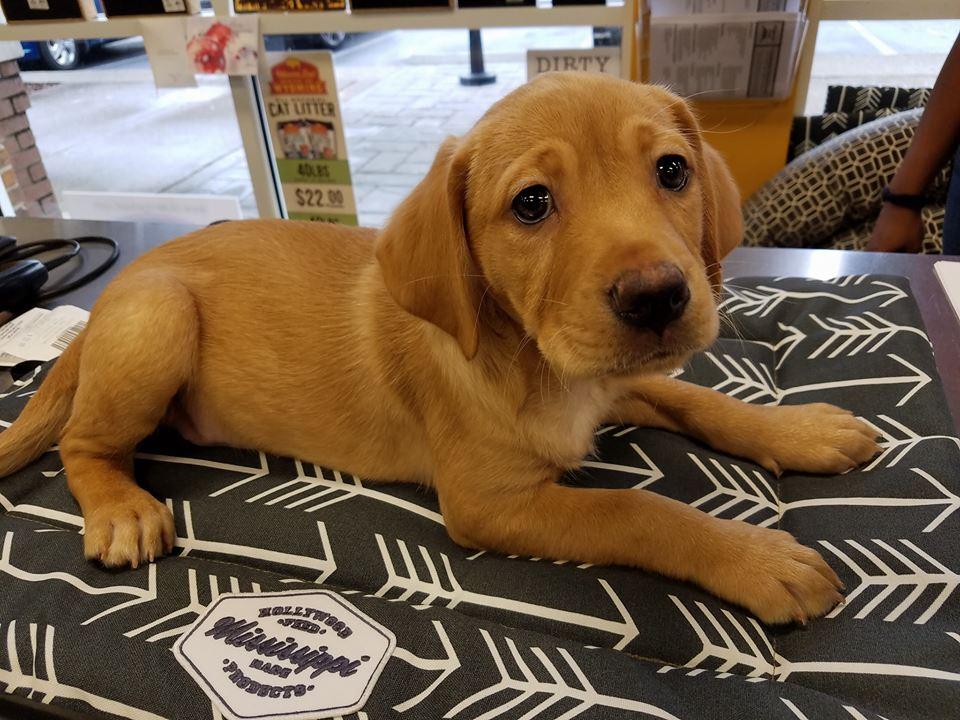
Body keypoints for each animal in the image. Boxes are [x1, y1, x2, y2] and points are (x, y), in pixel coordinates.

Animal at [0, 74, 876, 624]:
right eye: (532, 204)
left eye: (672, 170)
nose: (659, 297)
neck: (534, 363)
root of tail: (111, 297)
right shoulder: (492, 502)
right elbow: (639, 508)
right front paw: (755, 558)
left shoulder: (608, 375)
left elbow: (697, 396)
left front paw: (800, 429)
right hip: (158, 322)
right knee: (82, 443)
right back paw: (120, 509)